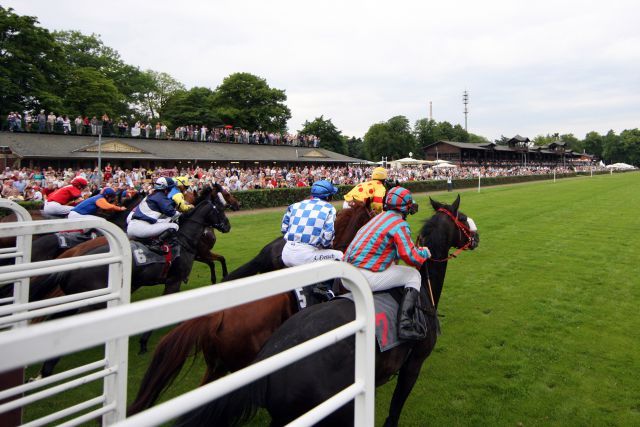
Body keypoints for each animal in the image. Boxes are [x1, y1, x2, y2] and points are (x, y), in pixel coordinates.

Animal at [32, 191, 231, 378]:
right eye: (220, 210)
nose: (227, 225)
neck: (182, 240)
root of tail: (68, 267)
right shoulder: (173, 281)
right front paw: (143, 342)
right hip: (91, 301)